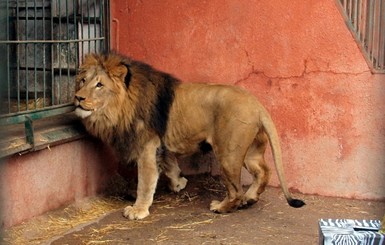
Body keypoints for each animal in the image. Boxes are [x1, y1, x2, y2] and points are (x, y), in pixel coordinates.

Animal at [74, 52, 304, 219]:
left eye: (99, 85)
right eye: (82, 81)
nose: (77, 97)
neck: (118, 108)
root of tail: (257, 104)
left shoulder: (147, 146)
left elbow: (145, 182)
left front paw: (138, 210)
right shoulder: (160, 145)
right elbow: (170, 164)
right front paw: (179, 183)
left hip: (228, 153)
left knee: (236, 189)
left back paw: (222, 206)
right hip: (250, 151)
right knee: (263, 172)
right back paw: (250, 199)